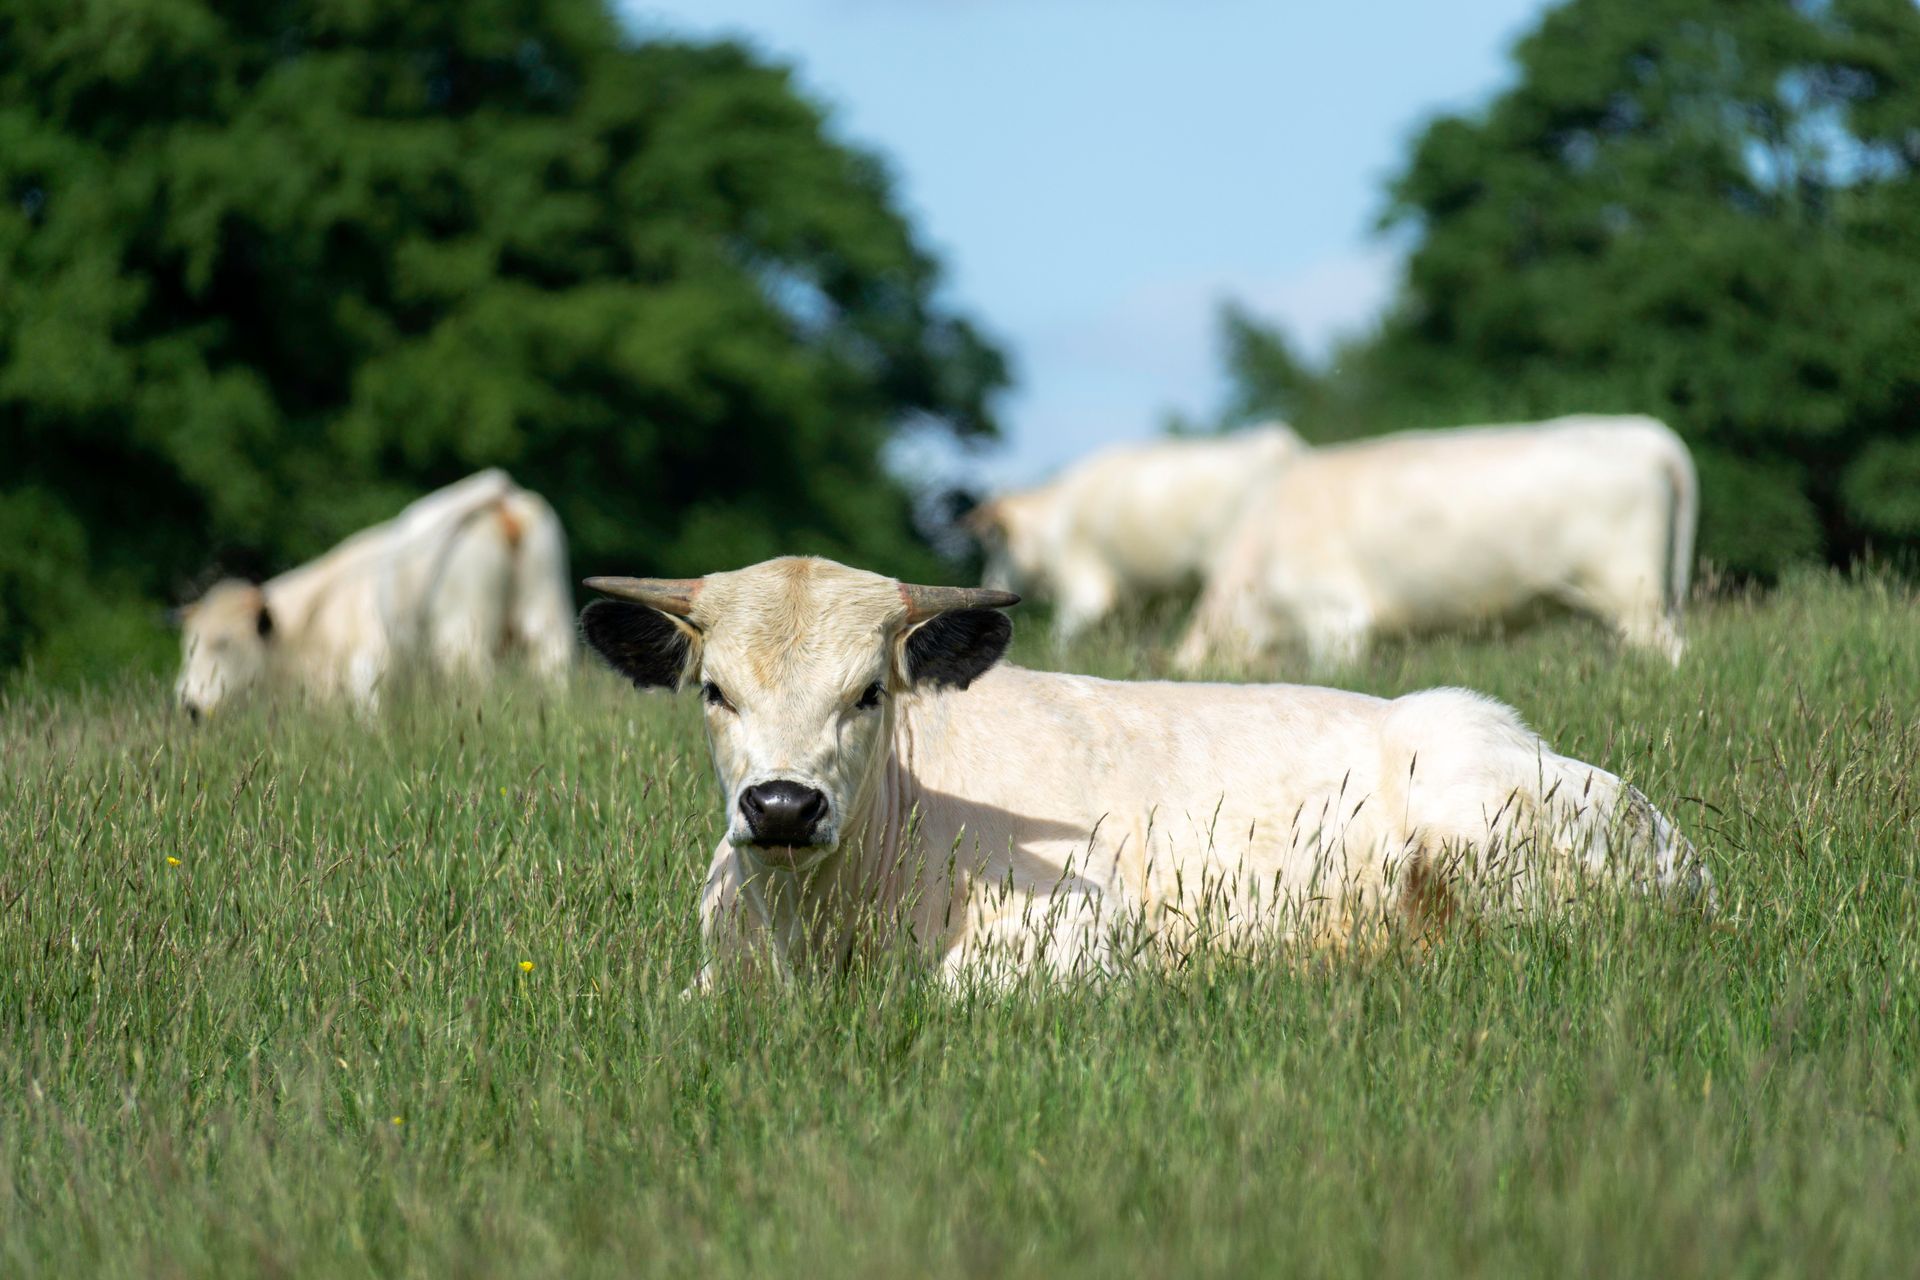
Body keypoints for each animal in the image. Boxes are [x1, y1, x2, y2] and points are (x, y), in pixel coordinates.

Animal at [174, 469, 572, 717]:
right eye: (189, 645)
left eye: (223, 642)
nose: (188, 704)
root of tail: (504, 497)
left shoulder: (363, 678)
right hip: (548, 621)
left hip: (462, 638)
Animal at [967, 423, 1305, 644]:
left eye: (994, 541)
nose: (989, 582)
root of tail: (1277, 445)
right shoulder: (1148, 601)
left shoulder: (1085, 588)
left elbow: (1062, 638)